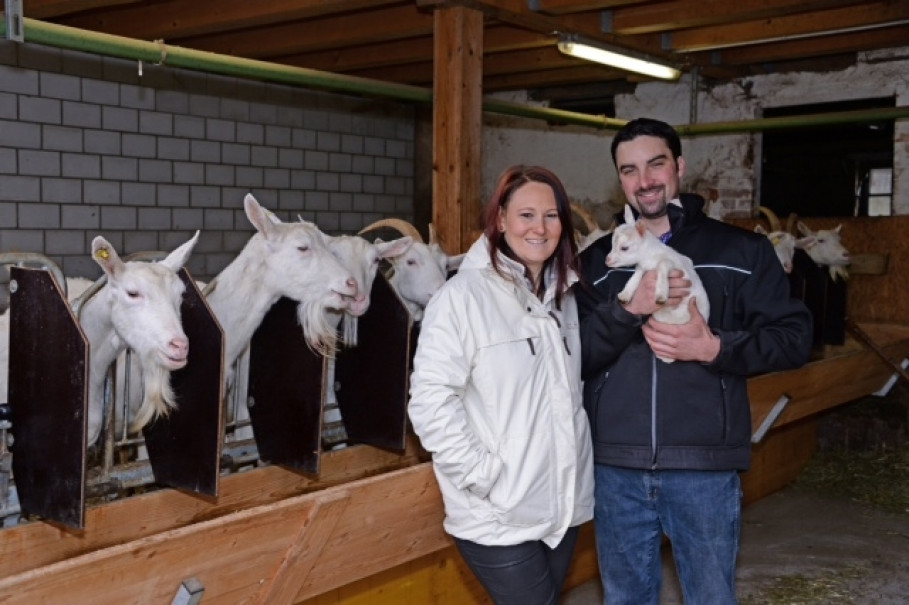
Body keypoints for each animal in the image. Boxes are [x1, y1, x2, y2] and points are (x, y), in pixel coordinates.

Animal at [612, 205, 708, 360]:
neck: (649, 256)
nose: (607, 261)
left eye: (624, 248)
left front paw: (661, 295)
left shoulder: (673, 264)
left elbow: (663, 266)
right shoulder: (642, 267)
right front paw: (624, 295)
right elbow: (635, 277)